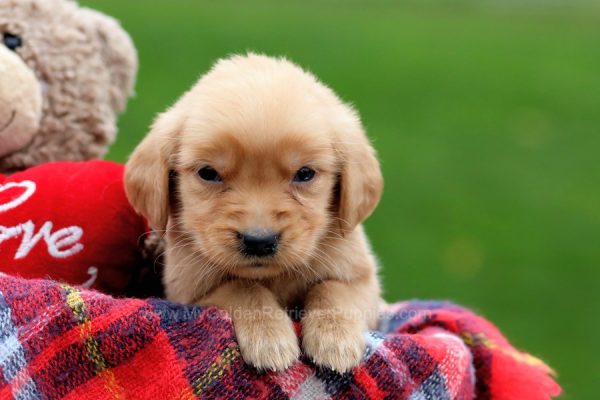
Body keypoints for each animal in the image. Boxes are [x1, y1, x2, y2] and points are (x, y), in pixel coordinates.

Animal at [125, 53, 384, 372]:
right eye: (208, 173)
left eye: (305, 173)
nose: (259, 241)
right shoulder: (187, 291)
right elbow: (242, 286)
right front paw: (270, 337)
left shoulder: (365, 281)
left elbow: (334, 288)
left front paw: (335, 338)